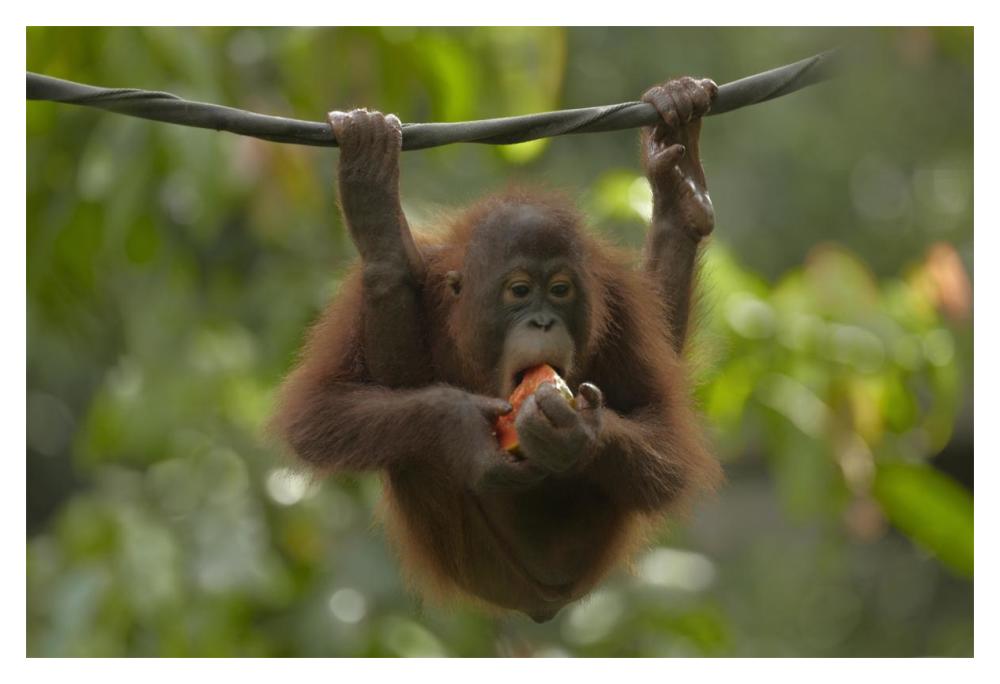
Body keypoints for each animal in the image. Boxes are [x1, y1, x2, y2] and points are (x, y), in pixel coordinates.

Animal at [273, 77, 722, 623]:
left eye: (560, 290)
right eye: (520, 290)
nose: (543, 320)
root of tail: (539, 602)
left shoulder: (620, 300)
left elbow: (667, 438)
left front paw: (576, 435)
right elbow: (317, 413)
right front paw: (462, 425)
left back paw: (681, 191)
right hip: (471, 556)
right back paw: (380, 229)